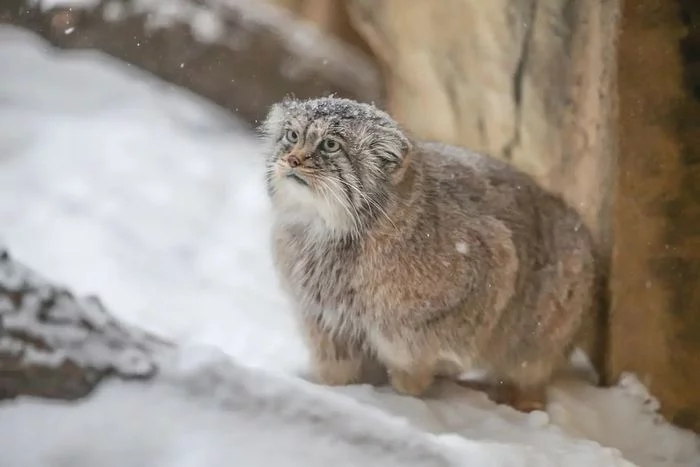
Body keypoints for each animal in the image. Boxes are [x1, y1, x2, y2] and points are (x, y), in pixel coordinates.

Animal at [262, 97, 596, 412]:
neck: (330, 235)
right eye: (292, 135)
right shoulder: (322, 317)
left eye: (330, 144)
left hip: (544, 323)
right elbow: (336, 366)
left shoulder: (493, 264)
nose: (291, 159)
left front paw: (407, 383)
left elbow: (415, 348)